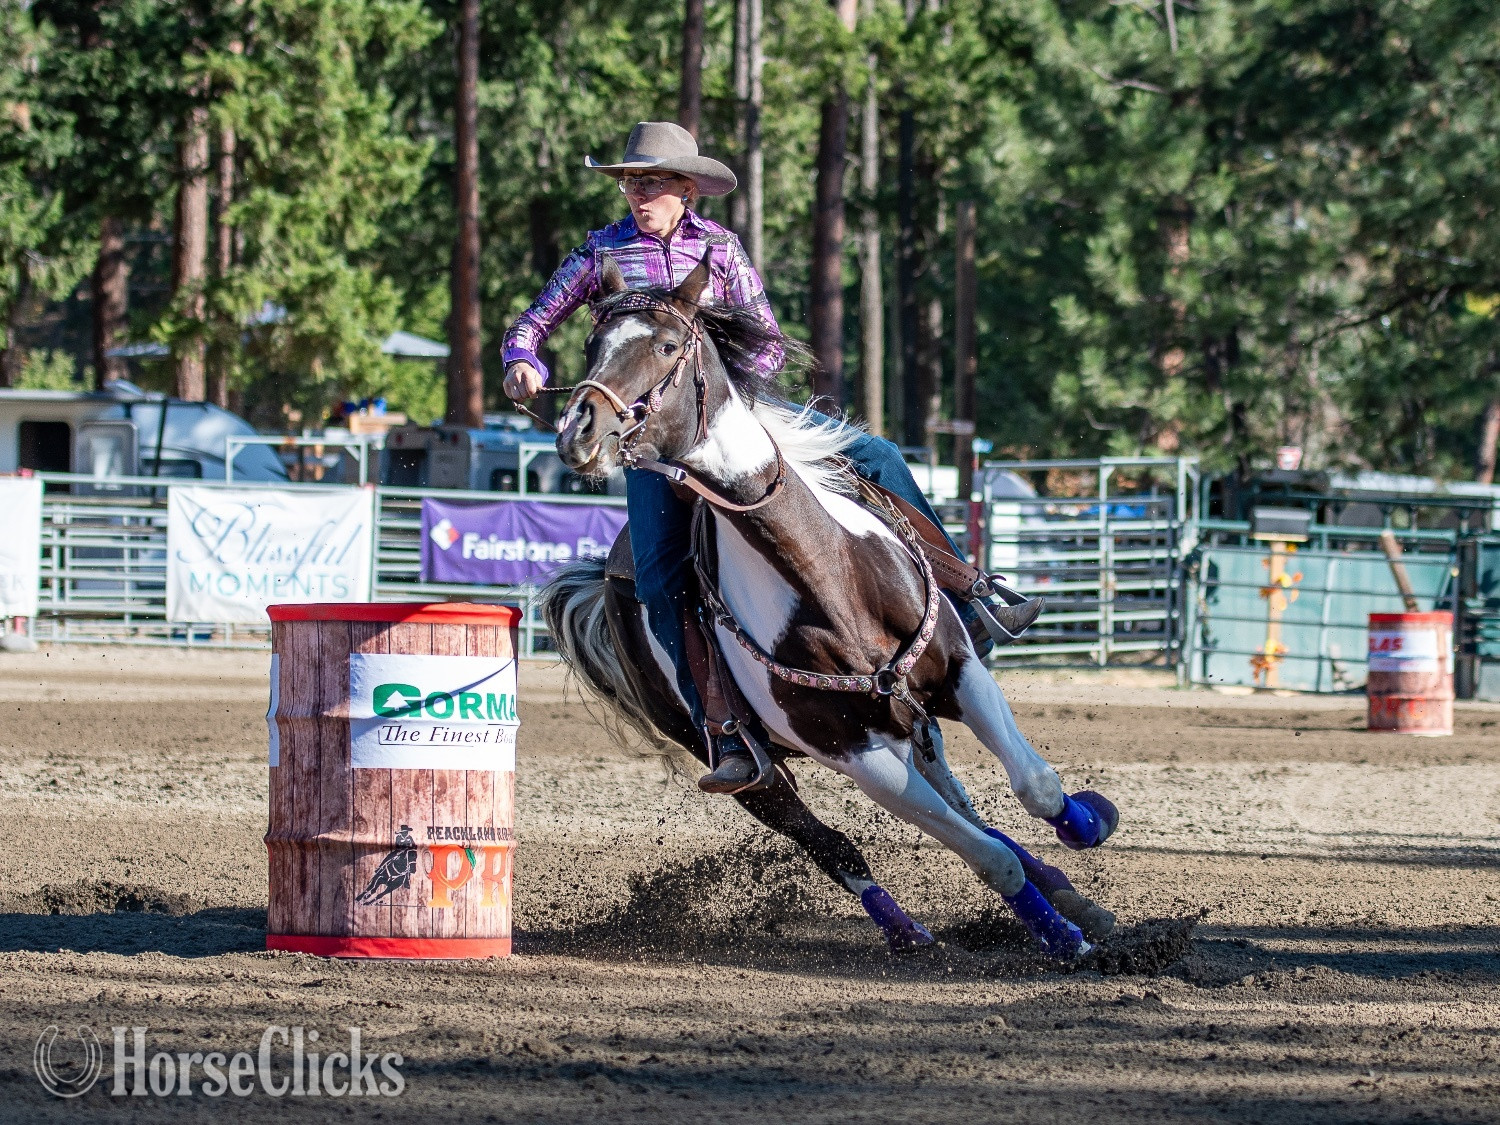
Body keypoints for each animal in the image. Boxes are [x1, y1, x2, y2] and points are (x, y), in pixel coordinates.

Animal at [538, 253, 1120, 961]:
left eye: (669, 345)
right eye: (591, 345)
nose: (579, 431)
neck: (824, 577)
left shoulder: (960, 673)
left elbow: (1035, 789)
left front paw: (1090, 828)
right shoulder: (855, 754)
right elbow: (987, 859)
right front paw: (1063, 941)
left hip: (912, 730)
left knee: (965, 809)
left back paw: (1070, 896)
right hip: (750, 771)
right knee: (838, 846)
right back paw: (909, 932)